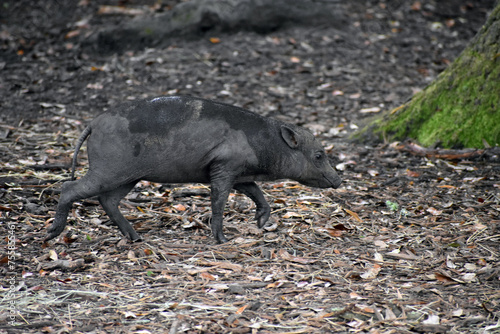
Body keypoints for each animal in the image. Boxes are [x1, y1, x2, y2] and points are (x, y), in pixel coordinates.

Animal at [45, 96, 342, 243]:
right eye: (318, 155)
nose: (339, 181)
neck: (265, 144)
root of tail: (92, 124)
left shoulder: (239, 174)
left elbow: (258, 194)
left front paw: (260, 223)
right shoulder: (223, 168)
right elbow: (219, 202)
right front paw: (222, 239)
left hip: (128, 177)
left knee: (107, 200)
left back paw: (136, 238)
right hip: (109, 171)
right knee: (69, 187)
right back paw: (52, 234)